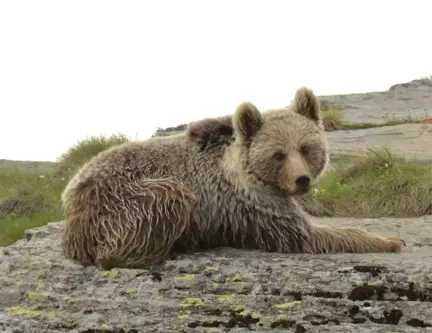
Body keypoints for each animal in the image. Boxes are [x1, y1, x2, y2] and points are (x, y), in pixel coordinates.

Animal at [60, 87, 404, 268]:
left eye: (306, 148)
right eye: (278, 154)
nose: (302, 180)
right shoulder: (252, 205)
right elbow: (306, 235)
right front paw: (388, 240)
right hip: (122, 201)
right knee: (163, 201)